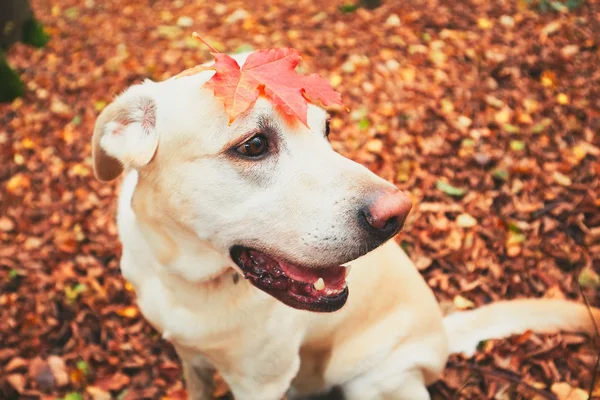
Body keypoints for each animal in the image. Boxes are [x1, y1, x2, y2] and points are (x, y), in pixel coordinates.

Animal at [90, 51, 600, 398]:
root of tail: (442, 331)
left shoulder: (261, 383)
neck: (187, 281)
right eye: (253, 145)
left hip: (375, 382)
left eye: (326, 130)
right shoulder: (191, 360)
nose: (397, 214)